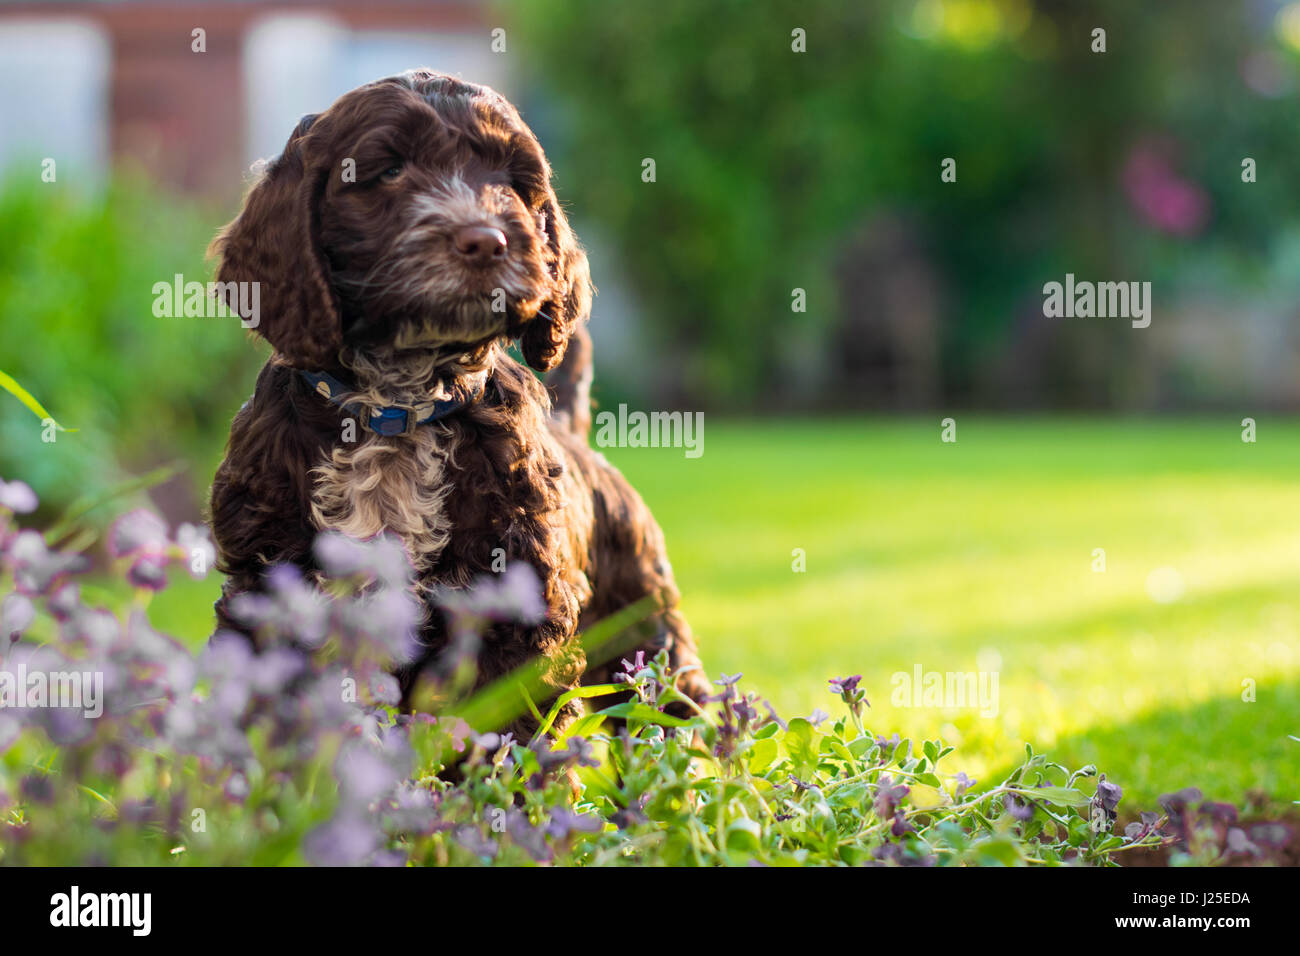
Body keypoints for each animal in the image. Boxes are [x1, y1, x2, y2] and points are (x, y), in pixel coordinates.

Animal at [206, 70, 707, 738]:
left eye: (515, 182)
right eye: (389, 171)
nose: (487, 241)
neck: (397, 404)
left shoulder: (519, 597)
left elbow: (516, 727)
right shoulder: (265, 581)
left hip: (642, 618)